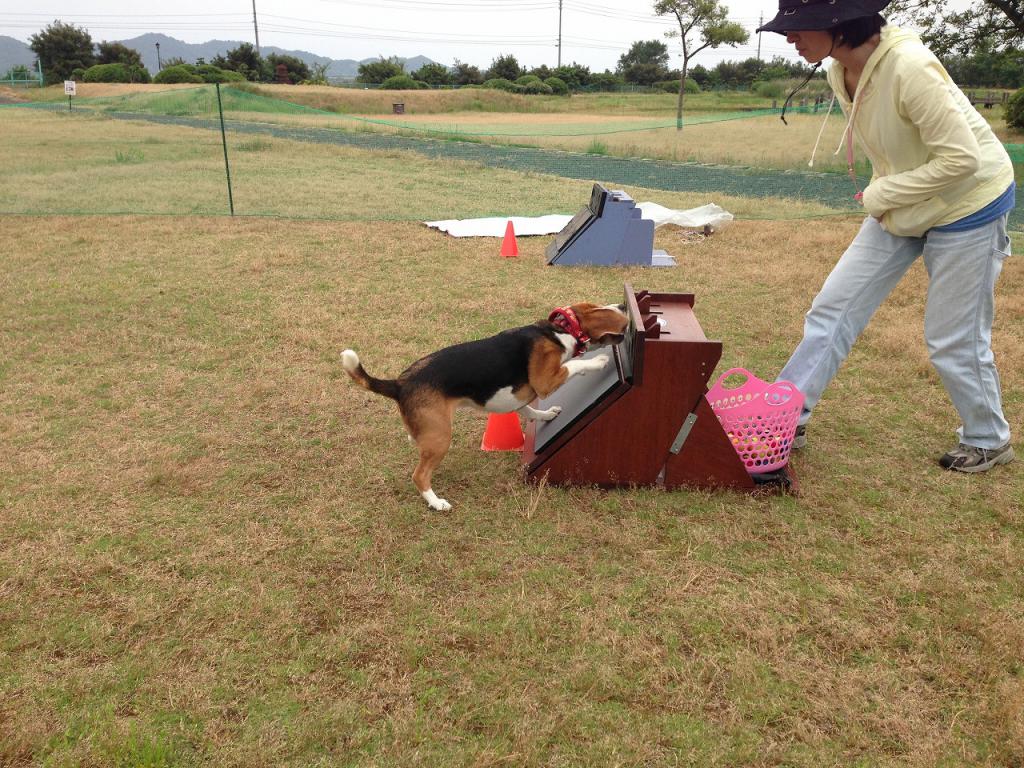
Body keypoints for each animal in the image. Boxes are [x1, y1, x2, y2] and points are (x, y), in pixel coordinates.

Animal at [344, 303, 626, 514]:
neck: (558, 331)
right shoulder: (545, 381)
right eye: (604, 307)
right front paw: (598, 362)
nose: (623, 304)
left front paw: (546, 414)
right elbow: (575, 366)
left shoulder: (519, 396)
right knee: (420, 475)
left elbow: (530, 410)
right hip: (440, 437)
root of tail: (400, 383)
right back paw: (436, 502)